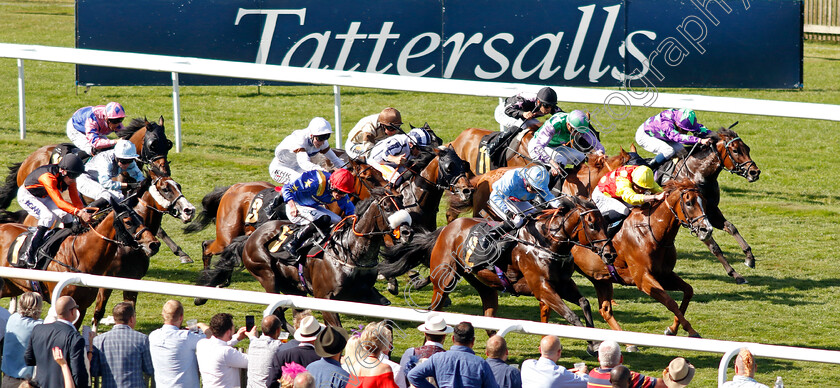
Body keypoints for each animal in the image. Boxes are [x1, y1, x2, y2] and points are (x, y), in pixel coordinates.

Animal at [0, 196, 160, 326]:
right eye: (128, 221)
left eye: (142, 219)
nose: (154, 244)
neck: (80, 258)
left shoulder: (82, 307)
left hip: (11, 286)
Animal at [90, 174, 195, 328]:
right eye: (165, 189)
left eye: (179, 186)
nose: (190, 210)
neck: (127, 247)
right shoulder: (105, 280)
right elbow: (98, 312)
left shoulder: (133, 280)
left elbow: (130, 310)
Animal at [199, 187, 414, 328]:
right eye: (387, 207)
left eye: (402, 204)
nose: (407, 232)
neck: (349, 252)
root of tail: (251, 236)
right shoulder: (324, 297)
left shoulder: (364, 293)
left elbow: (385, 314)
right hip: (266, 275)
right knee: (278, 314)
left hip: (294, 287)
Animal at [568, 179, 712, 340]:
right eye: (689, 203)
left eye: (705, 201)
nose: (707, 230)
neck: (650, 232)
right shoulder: (642, 278)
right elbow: (670, 302)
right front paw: (691, 331)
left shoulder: (664, 275)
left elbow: (688, 291)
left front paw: (672, 329)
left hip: (600, 278)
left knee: (605, 310)